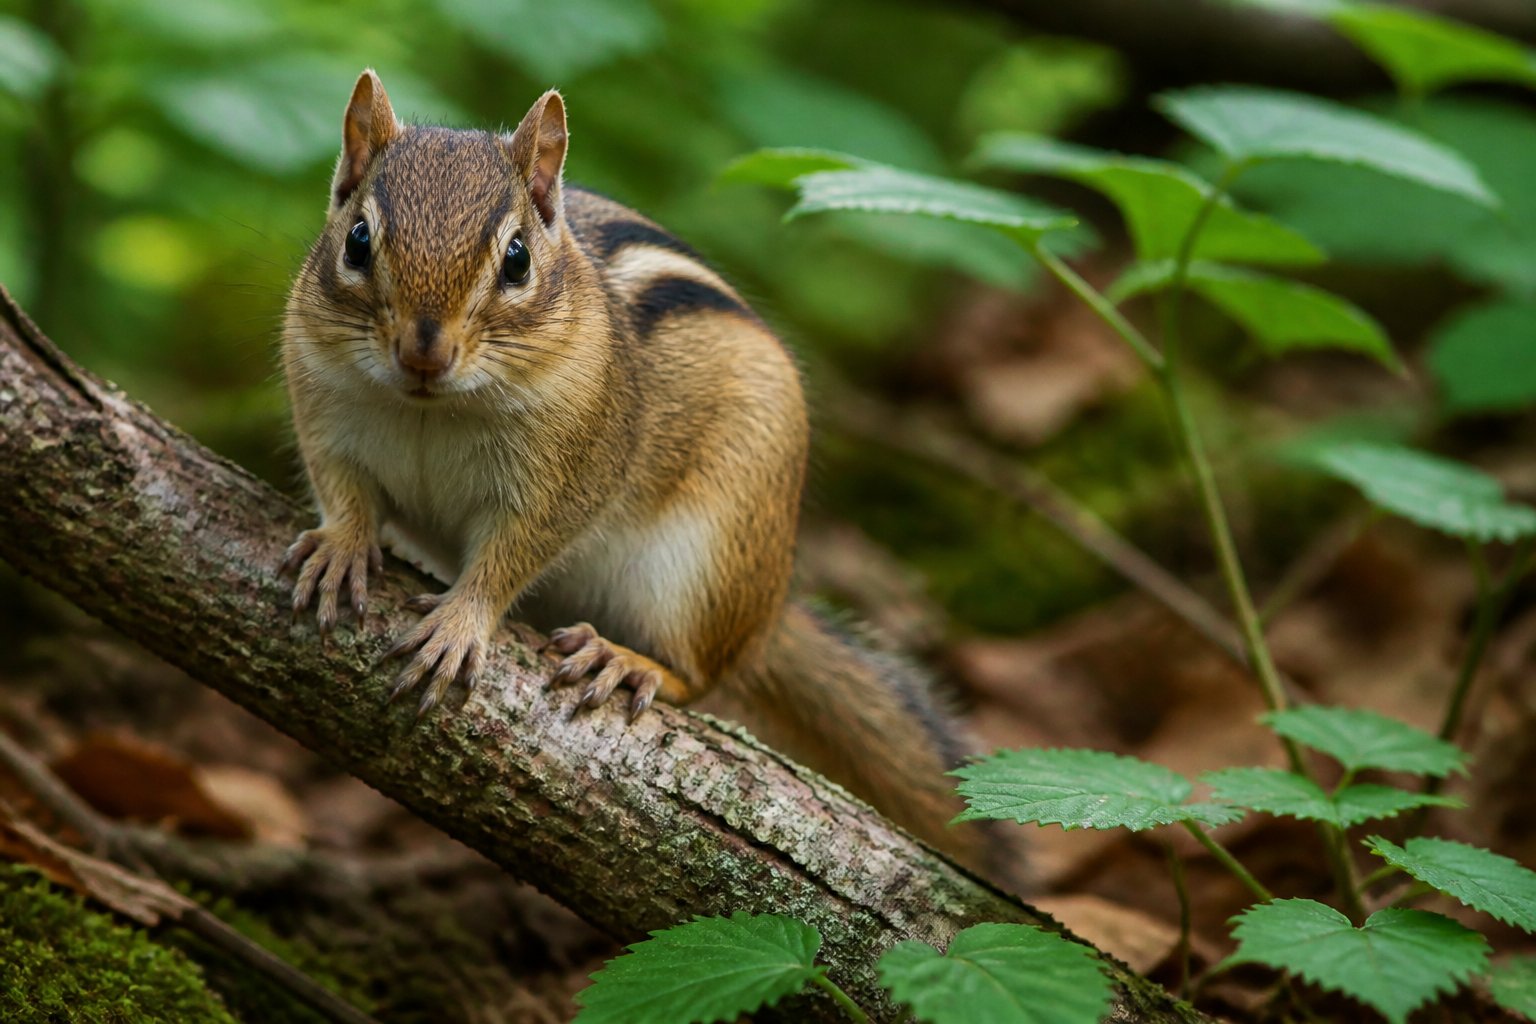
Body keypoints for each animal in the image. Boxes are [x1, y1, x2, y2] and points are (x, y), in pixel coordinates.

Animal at [281, 69, 991, 868]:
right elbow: (342, 491)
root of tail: (769, 612)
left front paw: (461, 622)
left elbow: (512, 554)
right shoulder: (324, 412)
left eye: (517, 259)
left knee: (701, 676)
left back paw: (629, 663)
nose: (423, 350)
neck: (430, 408)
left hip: (703, 568)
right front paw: (341, 548)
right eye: (357, 241)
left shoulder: (567, 475)